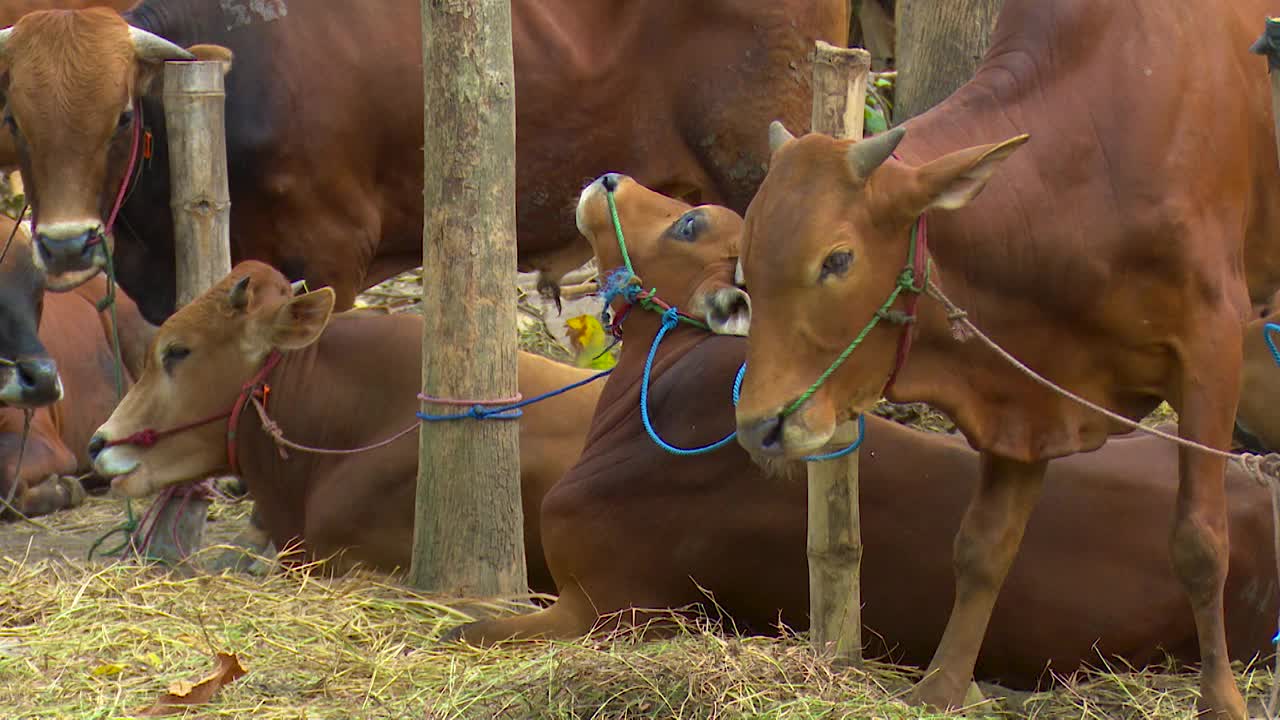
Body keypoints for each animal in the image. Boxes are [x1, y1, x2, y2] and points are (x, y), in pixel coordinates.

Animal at [732, 0, 1280, 712]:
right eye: (746, 261)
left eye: (837, 259)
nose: (759, 427)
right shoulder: (1024, 391)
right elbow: (982, 546)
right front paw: (941, 687)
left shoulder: (1212, 347)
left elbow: (1200, 542)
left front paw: (1221, 700)